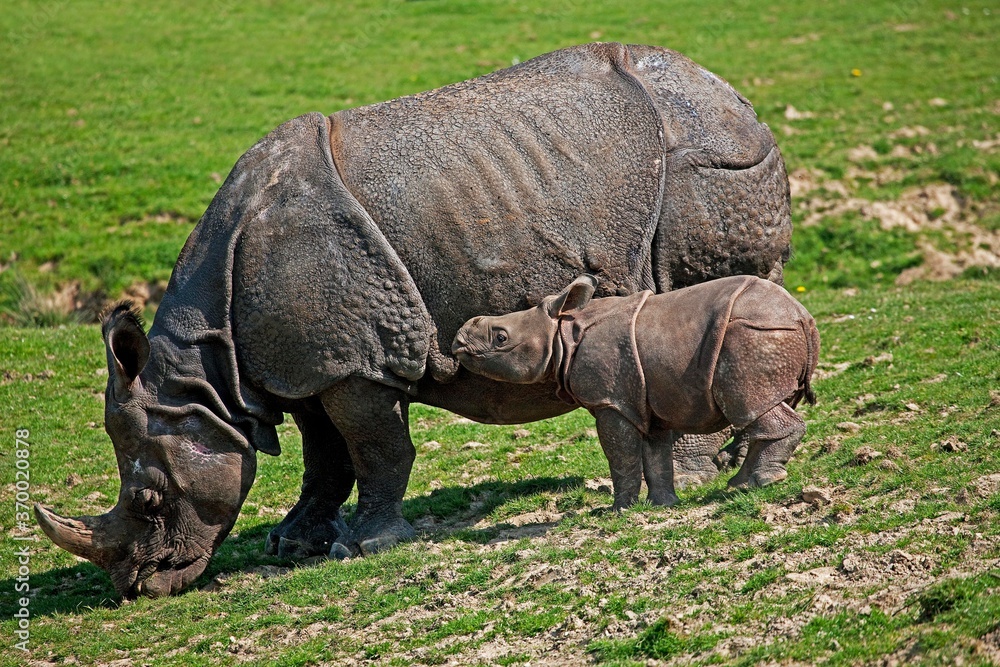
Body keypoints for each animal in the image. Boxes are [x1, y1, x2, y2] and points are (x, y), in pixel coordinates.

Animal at [452, 275, 820, 509]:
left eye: (501, 337)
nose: (457, 340)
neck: (562, 334)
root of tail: (803, 316)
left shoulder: (611, 401)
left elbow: (621, 453)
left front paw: (619, 510)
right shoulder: (647, 397)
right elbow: (655, 455)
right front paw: (663, 505)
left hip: (755, 335)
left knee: (751, 406)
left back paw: (762, 482)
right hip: (766, 336)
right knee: (764, 406)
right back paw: (742, 484)